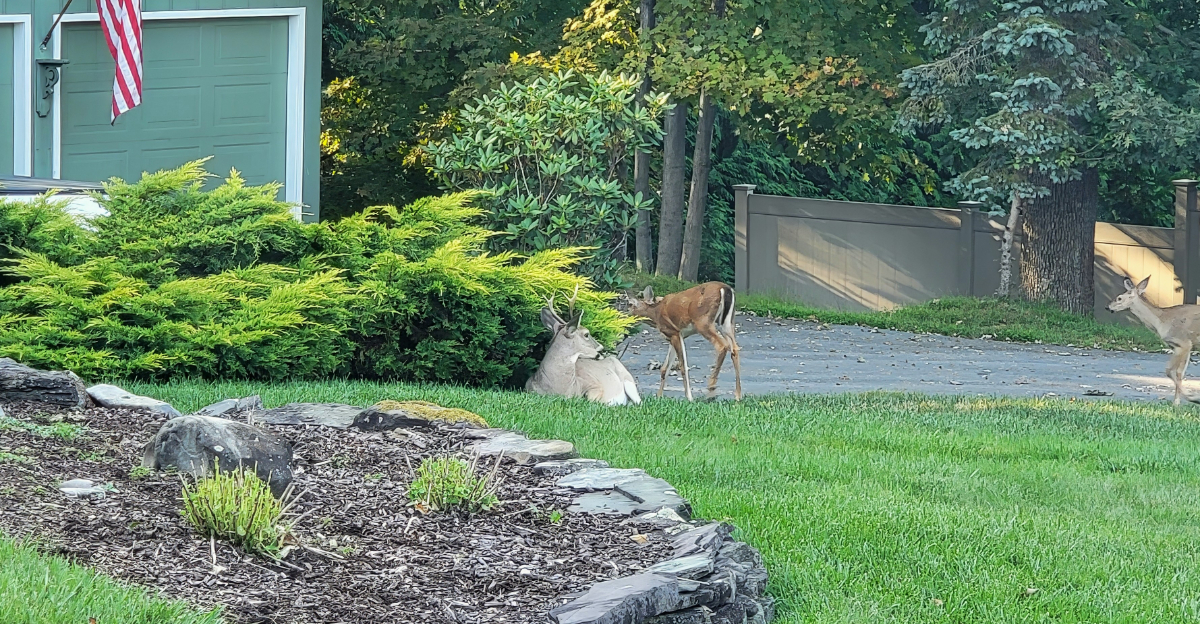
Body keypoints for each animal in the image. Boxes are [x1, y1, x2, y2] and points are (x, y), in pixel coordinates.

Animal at [1107, 275, 1200, 406]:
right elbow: (1180, 373)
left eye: (1119, 297)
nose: (1108, 307)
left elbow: (1169, 371)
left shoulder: (1183, 342)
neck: (1160, 321)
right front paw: (1177, 402)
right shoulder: (1183, 346)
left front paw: (1192, 398)